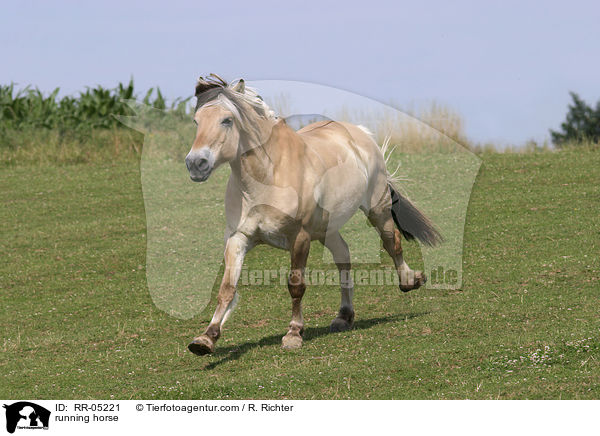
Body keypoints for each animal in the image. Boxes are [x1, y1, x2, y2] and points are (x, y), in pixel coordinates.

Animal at [184, 75, 440, 354]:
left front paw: (294, 333)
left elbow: (296, 285)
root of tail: (361, 133)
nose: (195, 163)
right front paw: (206, 338)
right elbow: (227, 288)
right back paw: (344, 316)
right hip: (328, 228)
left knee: (391, 241)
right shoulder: (238, 237)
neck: (268, 178)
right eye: (197, 121)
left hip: (377, 207)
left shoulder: (300, 237)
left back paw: (409, 281)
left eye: (227, 120)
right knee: (343, 256)